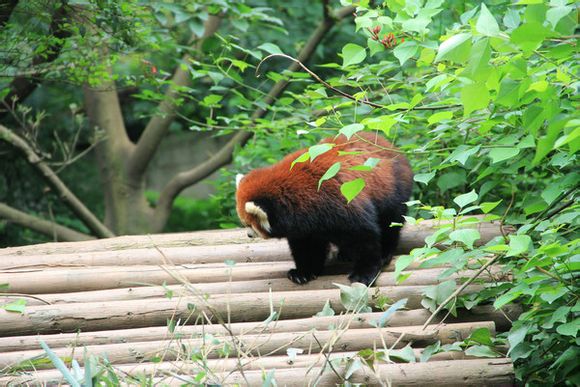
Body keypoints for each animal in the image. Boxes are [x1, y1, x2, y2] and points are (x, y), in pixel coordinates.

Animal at [234, 132, 412, 286]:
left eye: (249, 224)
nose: (249, 235)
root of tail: (388, 144)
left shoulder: (339, 202)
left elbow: (364, 237)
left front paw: (364, 273)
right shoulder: (305, 225)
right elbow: (305, 246)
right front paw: (303, 272)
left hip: (392, 189)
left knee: (391, 222)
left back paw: (385, 252)